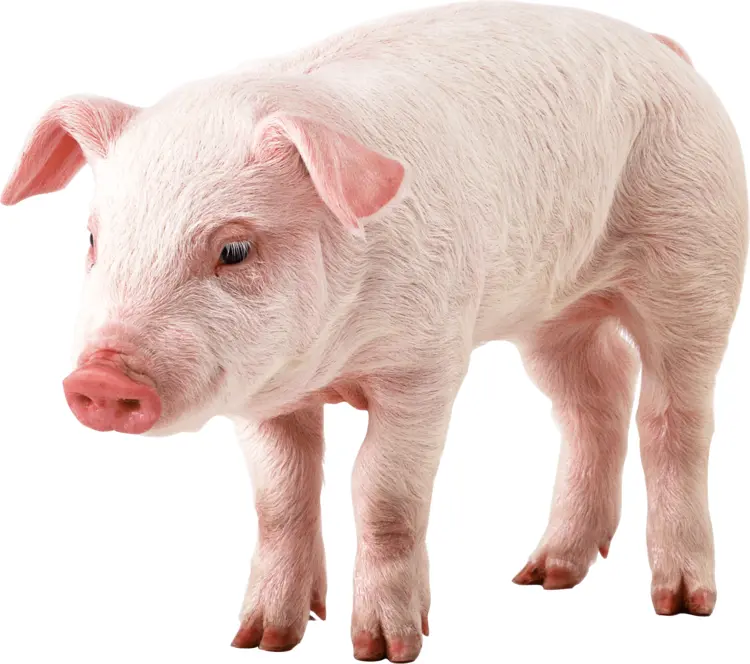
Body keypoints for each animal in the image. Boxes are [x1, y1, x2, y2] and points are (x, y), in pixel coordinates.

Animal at [2, 2, 747, 662]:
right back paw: (544, 577)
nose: (100, 376)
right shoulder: (260, 393)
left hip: (699, 260)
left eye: (235, 249)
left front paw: (386, 650)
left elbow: (384, 493)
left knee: (674, 417)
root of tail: (663, 49)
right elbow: (279, 499)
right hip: (551, 316)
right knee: (598, 394)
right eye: (93, 240)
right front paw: (261, 640)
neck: (332, 362)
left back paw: (682, 604)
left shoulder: (426, 365)